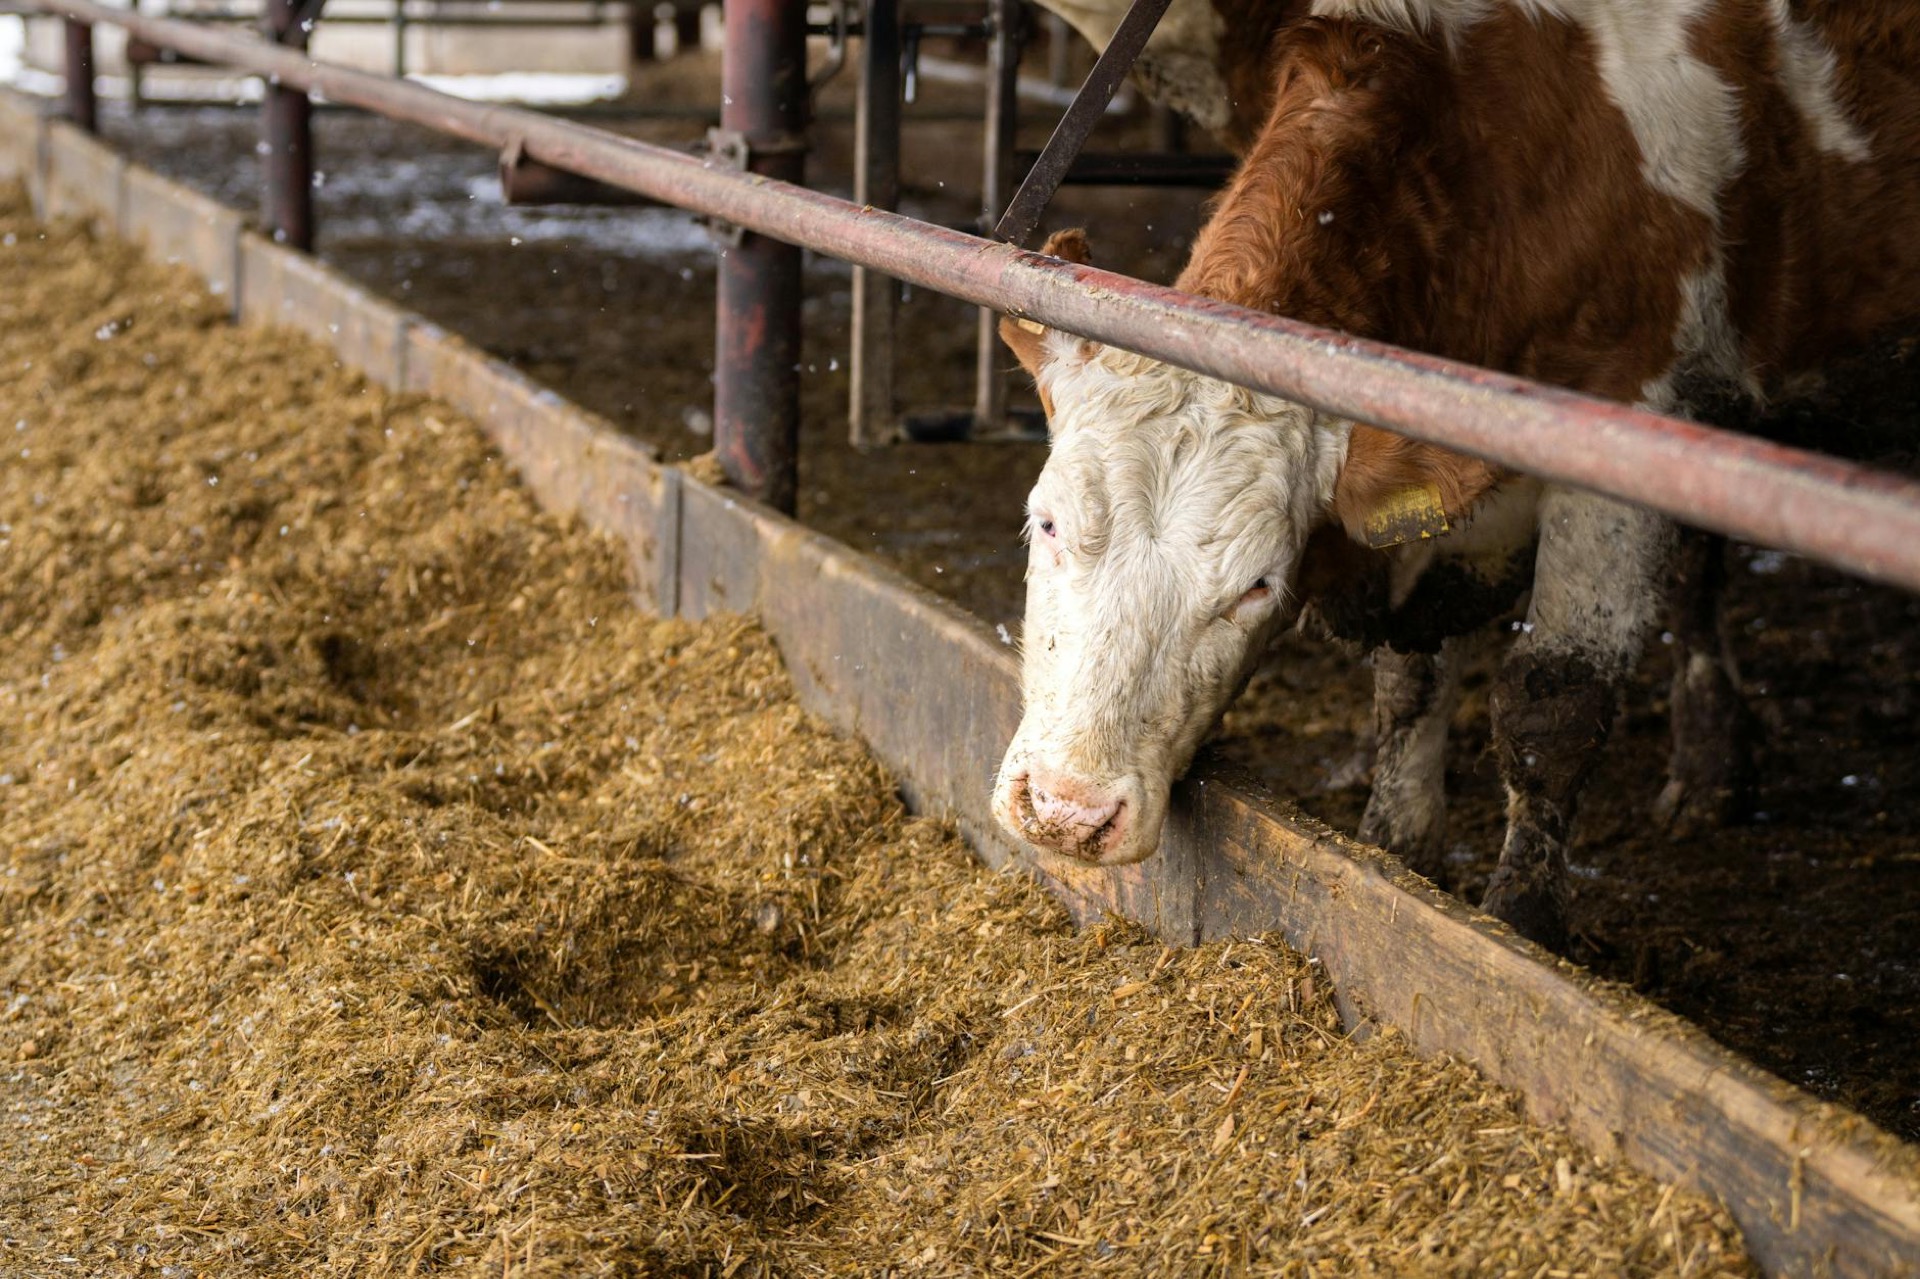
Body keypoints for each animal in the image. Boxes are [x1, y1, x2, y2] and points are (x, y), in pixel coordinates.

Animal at [990, 0, 1920, 948]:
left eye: (1258, 585)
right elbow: (1411, 679)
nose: (1068, 811)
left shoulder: (1629, 424)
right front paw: (1392, 848)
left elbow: (1555, 701)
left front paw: (1521, 921)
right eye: (1048, 522)